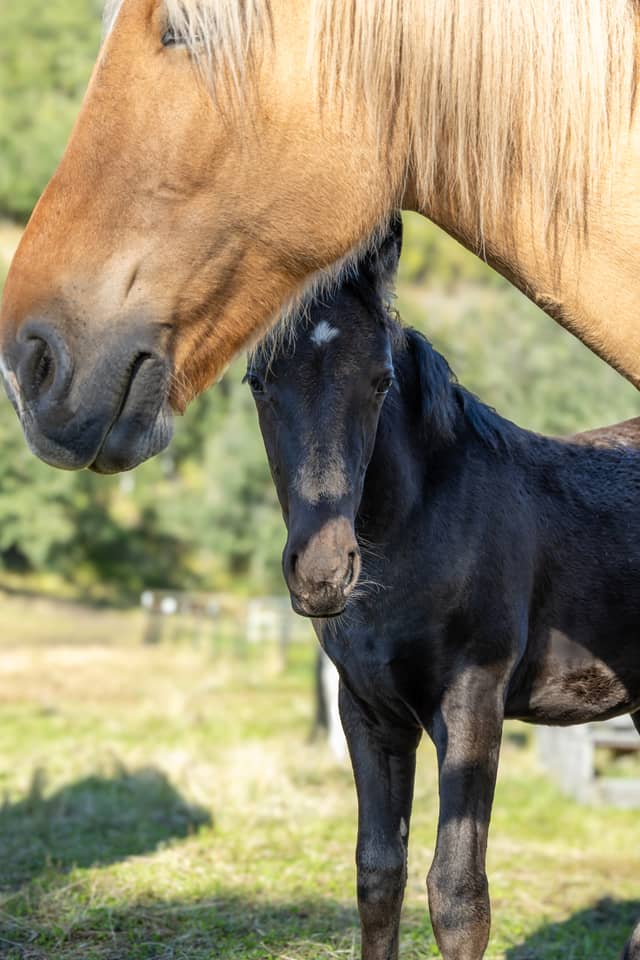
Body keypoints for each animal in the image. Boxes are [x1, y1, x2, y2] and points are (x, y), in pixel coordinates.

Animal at [247, 218, 640, 960]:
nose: (322, 571)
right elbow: (378, 875)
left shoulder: (473, 702)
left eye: (380, 381)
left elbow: (458, 895)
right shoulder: (368, 711)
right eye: (258, 382)